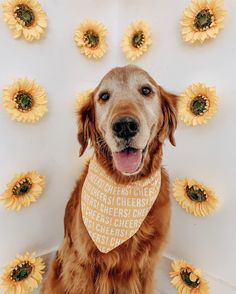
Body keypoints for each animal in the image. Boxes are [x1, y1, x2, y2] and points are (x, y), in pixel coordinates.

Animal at [42, 65, 177, 294]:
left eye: (146, 90)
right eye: (104, 96)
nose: (125, 126)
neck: (125, 185)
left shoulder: (147, 265)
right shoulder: (84, 264)